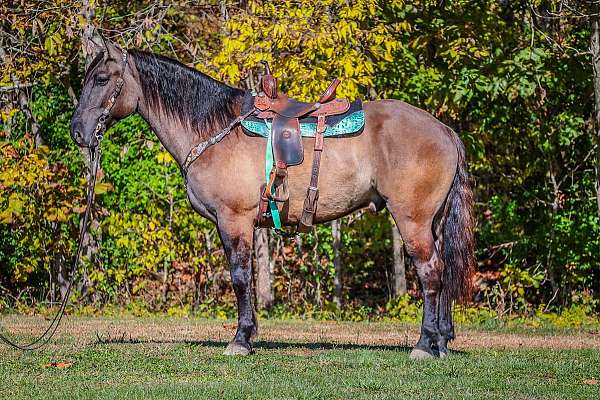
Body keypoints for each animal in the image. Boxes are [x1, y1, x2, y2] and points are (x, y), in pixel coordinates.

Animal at [69, 35, 474, 360]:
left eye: (101, 79)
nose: (78, 132)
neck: (216, 128)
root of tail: (444, 130)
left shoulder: (235, 220)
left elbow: (239, 277)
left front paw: (240, 339)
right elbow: (244, 276)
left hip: (413, 220)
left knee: (430, 272)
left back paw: (423, 345)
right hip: (433, 223)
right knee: (441, 271)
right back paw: (440, 342)